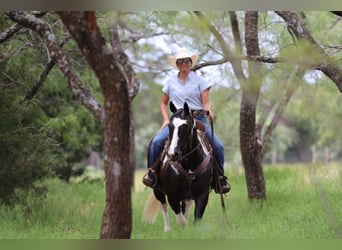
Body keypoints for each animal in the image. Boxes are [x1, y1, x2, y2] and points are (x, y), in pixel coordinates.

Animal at [143, 102, 212, 231]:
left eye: (185, 125)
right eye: (169, 126)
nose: (172, 154)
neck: (189, 163)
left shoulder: (203, 194)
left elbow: (196, 217)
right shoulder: (172, 195)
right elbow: (180, 220)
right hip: (157, 189)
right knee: (163, 206)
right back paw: (167, 229)